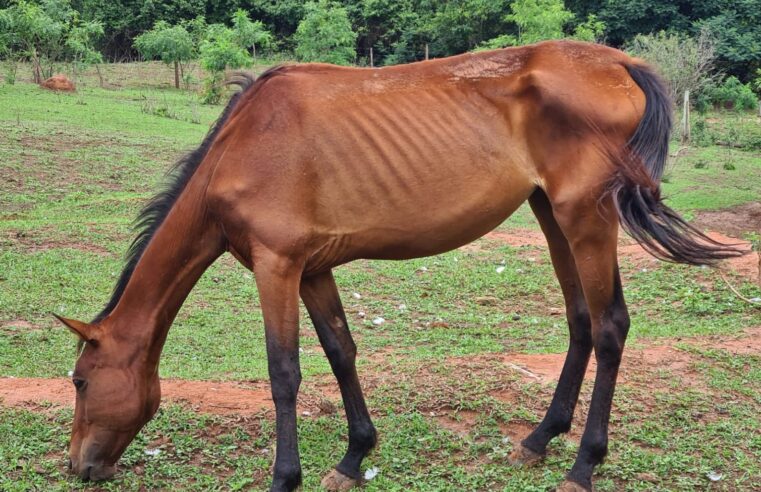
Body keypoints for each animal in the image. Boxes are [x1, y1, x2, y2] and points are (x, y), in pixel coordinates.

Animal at [55, 39, 744, 492]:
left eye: (81, 382)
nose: (80, 466)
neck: (243, 147)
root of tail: (619, 63)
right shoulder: (311, 269)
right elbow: (340, 352)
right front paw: (354, 456)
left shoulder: (276, 267)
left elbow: (284, 372)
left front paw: (286, 477)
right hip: (554, 217)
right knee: (580, 321)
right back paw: (540, 439)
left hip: (587, 219)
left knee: (608, 327)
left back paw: (582, 466)